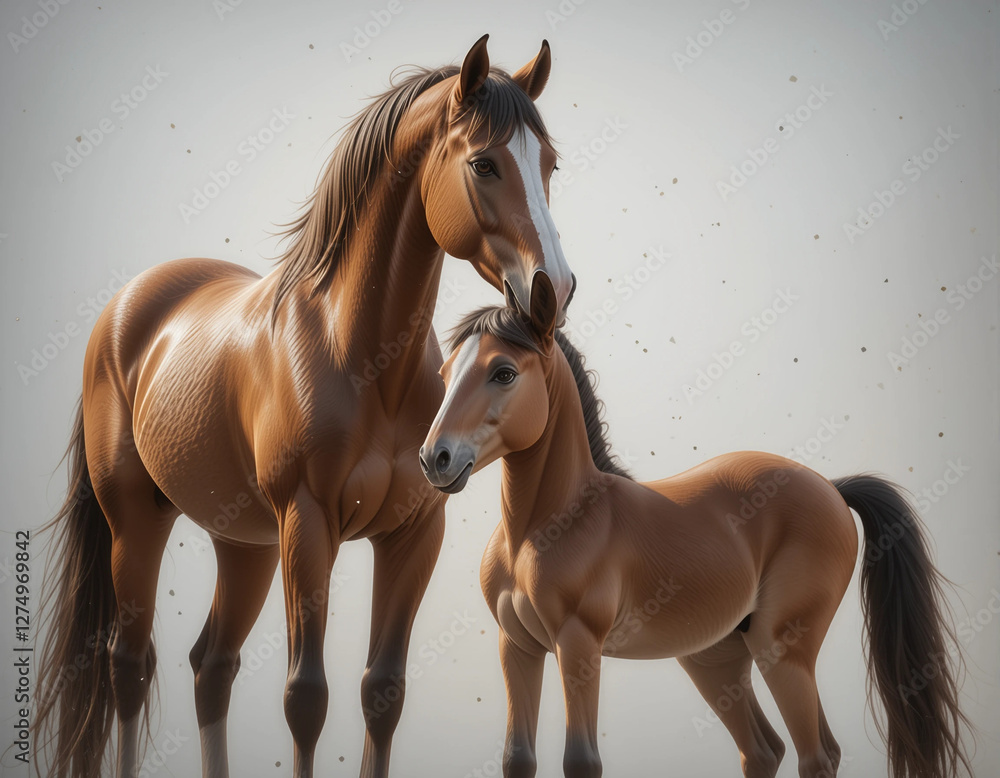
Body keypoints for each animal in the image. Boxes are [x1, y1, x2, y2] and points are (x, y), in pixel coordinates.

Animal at [34, 35, 577, 778]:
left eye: (549, 163)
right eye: (485, 163)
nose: (557, 288)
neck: (365, 365)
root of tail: (127, 306)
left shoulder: (414, 534)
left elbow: (382, 691)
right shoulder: (308, 524)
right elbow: (306, 697)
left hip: (244, 544)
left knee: (212, 665)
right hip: (137, 521)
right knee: (128, 667)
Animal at [418, 272, 973, 778]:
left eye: (504, 372)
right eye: (444, 371)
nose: (434, 459)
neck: (544, 528)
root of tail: (831, 488)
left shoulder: (578, 645)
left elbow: (581, 761)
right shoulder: (518, 646)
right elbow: (518, 759)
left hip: (782, 651)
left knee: (816, 756)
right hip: (715, 658)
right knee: (766, 750)